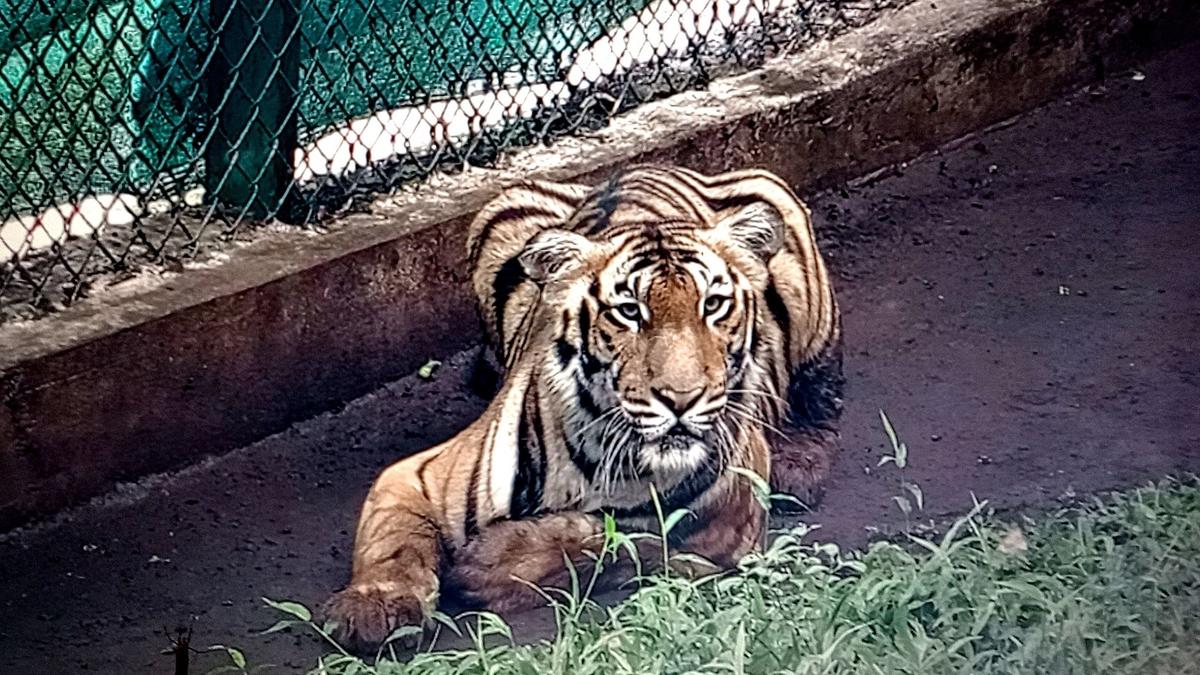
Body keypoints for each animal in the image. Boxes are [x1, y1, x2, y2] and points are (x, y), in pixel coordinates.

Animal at [325, 187, 797, 649]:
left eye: (713, 305)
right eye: (629, 311)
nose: (680, 399)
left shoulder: (733, 525)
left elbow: (628, 536)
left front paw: (488, 563)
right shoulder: (414, 476)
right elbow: (393, 544)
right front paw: (374, 609)